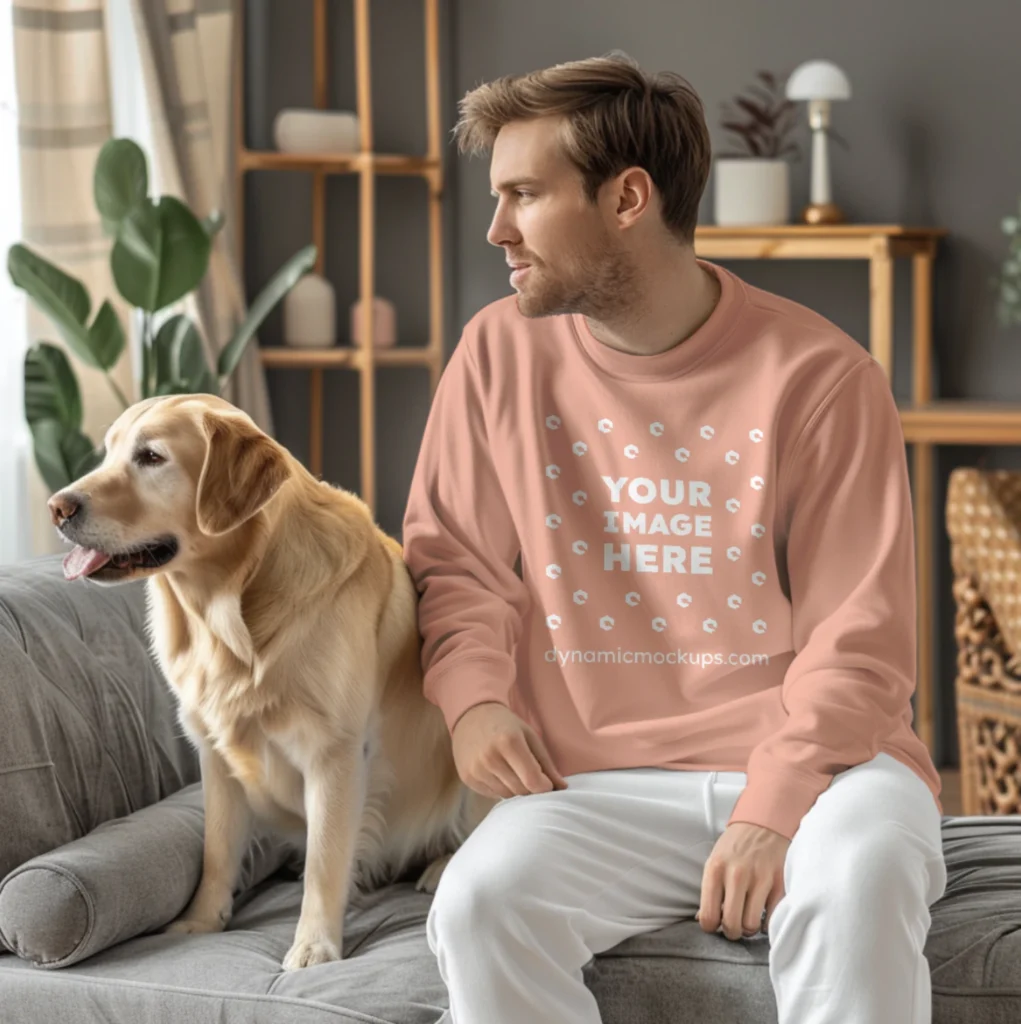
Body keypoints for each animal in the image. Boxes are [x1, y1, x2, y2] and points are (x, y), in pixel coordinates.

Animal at [47, 389, 493, 966]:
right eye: (108, 452)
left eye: (151, 457)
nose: (58, 507)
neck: (230, 609)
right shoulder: (215, 754)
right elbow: (217, 850)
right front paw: (201, 920)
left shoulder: (334, 753)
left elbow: (326, 859)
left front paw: (314, 945)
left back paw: (441, 866)